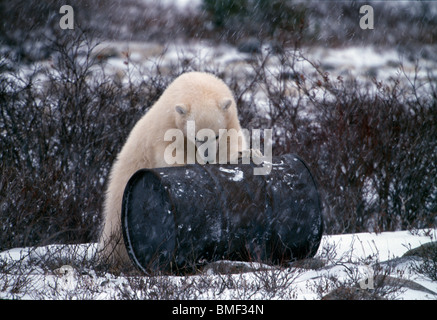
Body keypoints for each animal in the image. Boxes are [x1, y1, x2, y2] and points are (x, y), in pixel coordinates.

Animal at [100, 72, 247, 268]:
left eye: (216, 135)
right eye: (196, 137)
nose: (208, 157)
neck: (196, 86)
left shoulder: (230, 120)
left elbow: (233, 141)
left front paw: (243, 154)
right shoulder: (167, 127)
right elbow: (171, 154)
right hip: (119, 204)